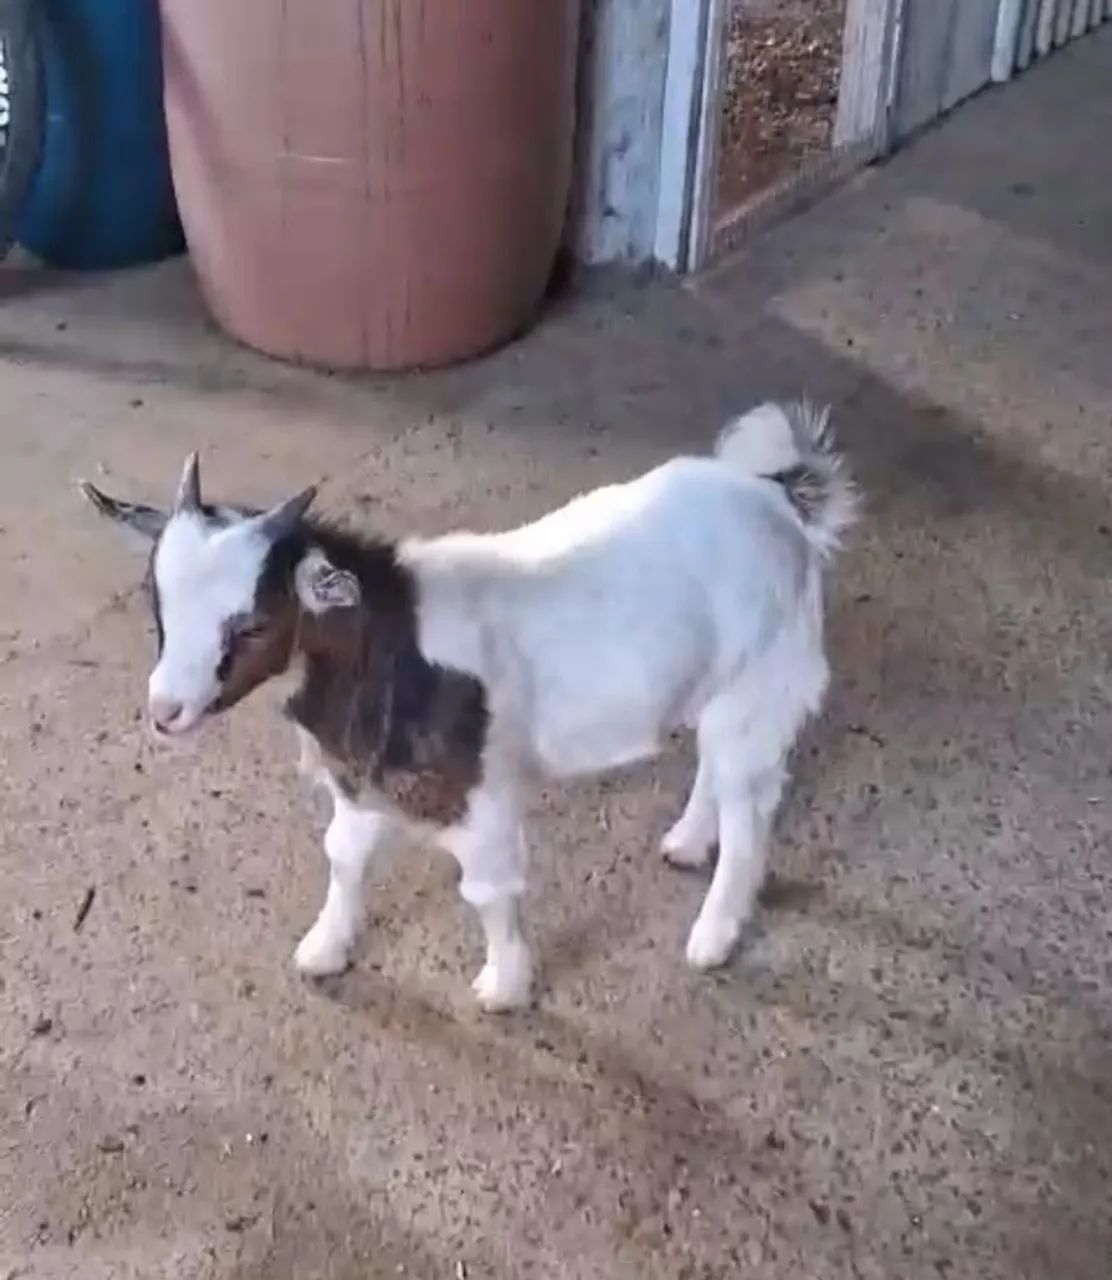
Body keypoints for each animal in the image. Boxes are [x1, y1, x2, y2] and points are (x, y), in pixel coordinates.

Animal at [80, 401, 855, 1010]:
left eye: (252, 625)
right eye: (157, 604)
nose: (166, 710)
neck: (390, 637)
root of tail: (777, 498)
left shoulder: (478, 795)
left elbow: (487, 890)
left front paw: (504, 987)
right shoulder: (362, 781)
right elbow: (343, 857)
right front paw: (325, 948)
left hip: (762, 683)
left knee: (750, 811)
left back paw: (712, 936)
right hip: (714, 686)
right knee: (714, 770)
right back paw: (688, 842)